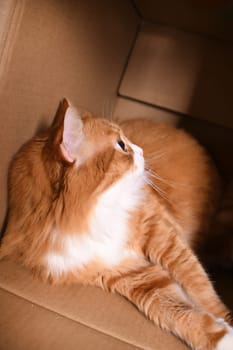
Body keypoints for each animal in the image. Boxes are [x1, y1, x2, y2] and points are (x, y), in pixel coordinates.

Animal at [0, 99, 233, 350]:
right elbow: (174, 309)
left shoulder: (161, 232)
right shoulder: (129, 273)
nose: (141, 151)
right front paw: (221, 336)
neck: (90, 216)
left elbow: (200, 286)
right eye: (122, 145)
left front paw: (226, 318)